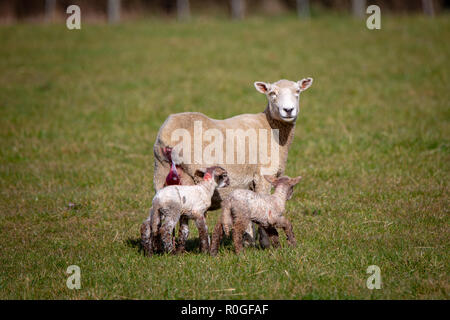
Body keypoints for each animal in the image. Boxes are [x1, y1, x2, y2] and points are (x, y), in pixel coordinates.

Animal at [151, 77, 312, 248]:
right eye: (272, 93)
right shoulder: (263, 175)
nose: (288, 110)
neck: (271, 127)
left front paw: (249, 241)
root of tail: (168, 136)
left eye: (298, 91)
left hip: (160, 174)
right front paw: (265, 243)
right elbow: (263, 204)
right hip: (192, 176)